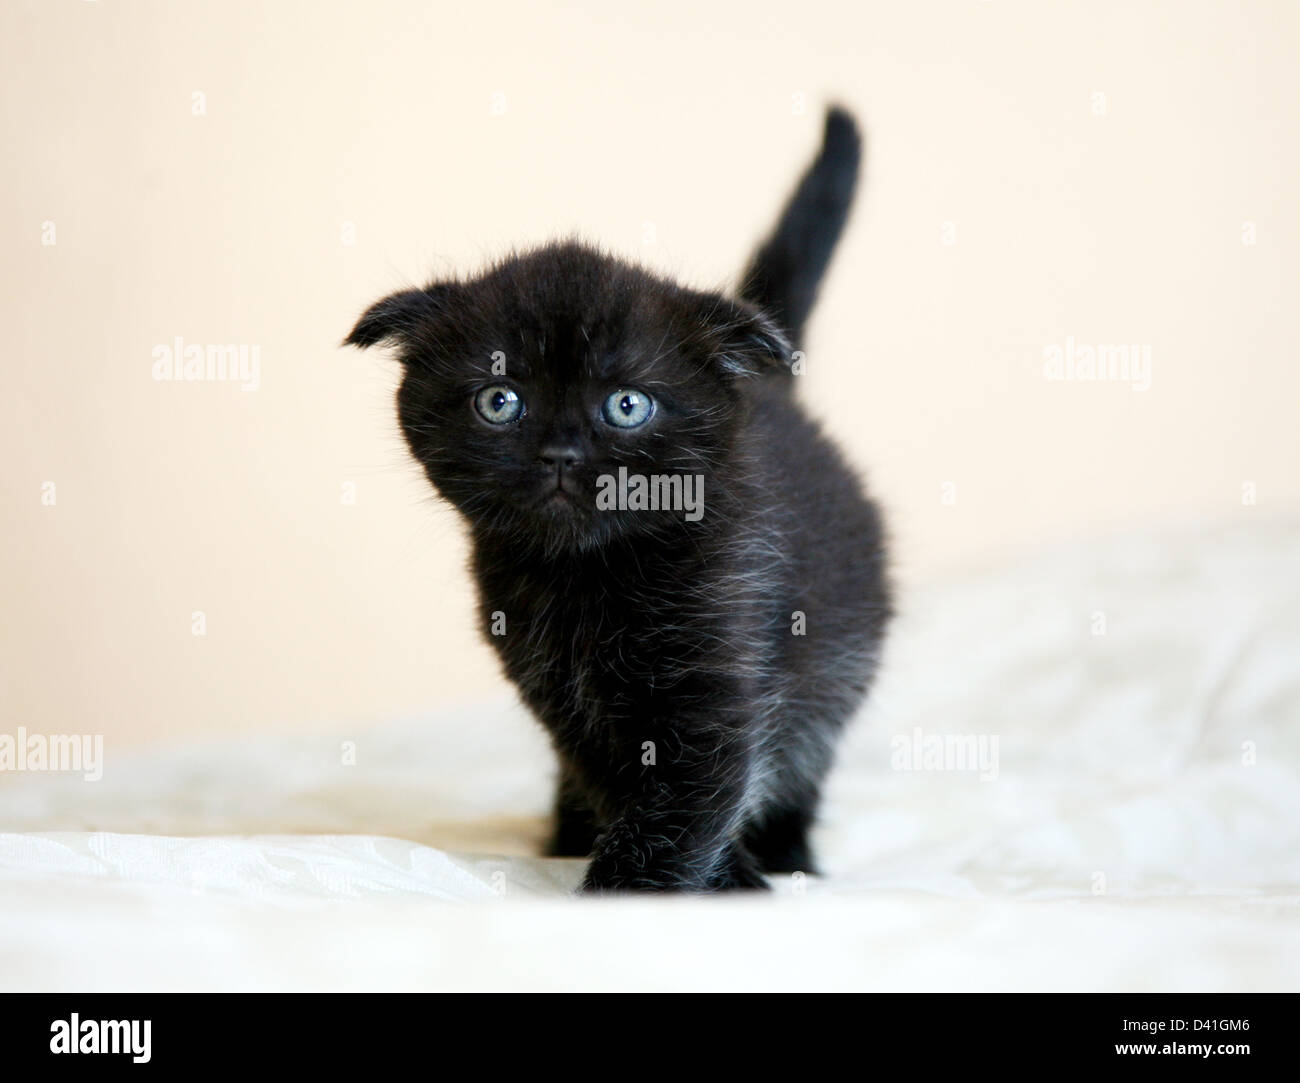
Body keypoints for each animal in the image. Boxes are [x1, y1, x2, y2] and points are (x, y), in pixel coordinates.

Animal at [348, 105, 894, 889]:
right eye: (499, 400)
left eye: (627, 405)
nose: (561, 454)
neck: (583, 579)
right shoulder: (559, 696)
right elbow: (622, 783)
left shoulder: (719, 669)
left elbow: (692, 791)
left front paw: (650, 887)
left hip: (838, 663)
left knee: (807, 754)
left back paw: (791, 855)